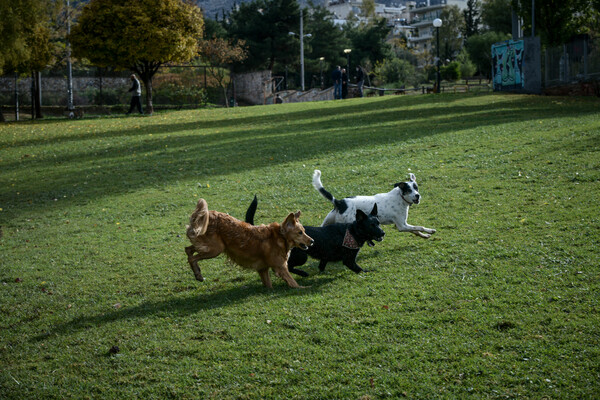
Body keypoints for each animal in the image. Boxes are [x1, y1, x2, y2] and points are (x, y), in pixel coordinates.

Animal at [184, 199, 314, 288]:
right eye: (300, 232)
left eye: (304, 231)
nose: (312, 241)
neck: (280, 237)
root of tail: (206, 214)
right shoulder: (281, 268)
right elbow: (294, 283)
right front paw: (305, 287)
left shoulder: (263, 269)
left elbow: (269, 285)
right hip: (215, 249)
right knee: (192, 258)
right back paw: (198, 274)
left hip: (208, 246)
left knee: (188, 250)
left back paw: (197, 271)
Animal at [245, 195, 382, 276]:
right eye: (371, 225)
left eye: (378, 223)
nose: (383, 233)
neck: (353, 231)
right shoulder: (349, 260)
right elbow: (359, 269)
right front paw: (369, 271)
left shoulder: (325, 257)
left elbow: (321, 266)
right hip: (302, 256)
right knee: (288, 266)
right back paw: (303, 273)